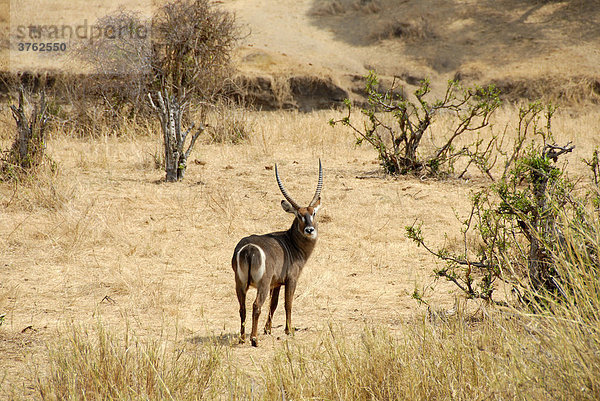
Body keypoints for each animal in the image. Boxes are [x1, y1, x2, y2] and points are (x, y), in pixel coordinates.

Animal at [232, 159, 324, 346]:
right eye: (298, 215)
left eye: (313, 213)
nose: (310, 230)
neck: (291, 242)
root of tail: (249, 248)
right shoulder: (291, 279)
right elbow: (287, 304)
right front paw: (289, 330)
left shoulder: (276, 284)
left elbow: (273, 304)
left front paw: (267, 329)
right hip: (262, 283)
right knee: (256, 305)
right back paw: (254, 339)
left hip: (240, 283)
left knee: (242, 307)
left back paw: (243, 337)